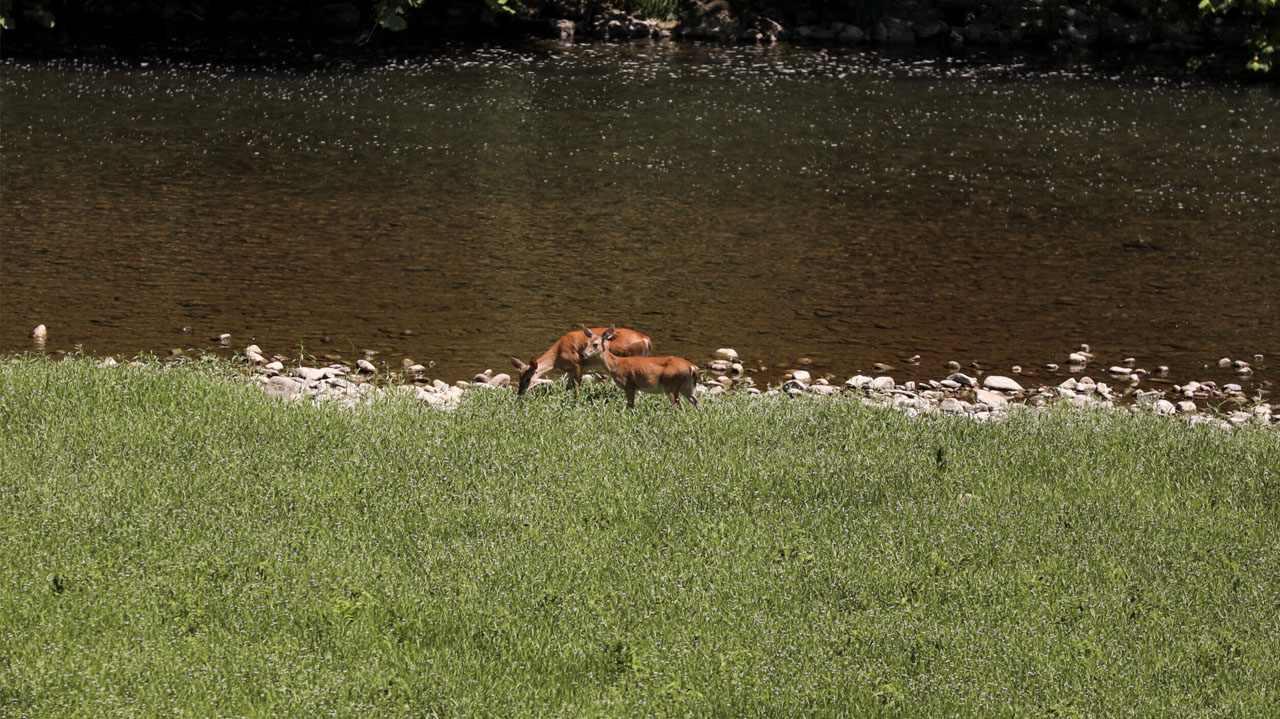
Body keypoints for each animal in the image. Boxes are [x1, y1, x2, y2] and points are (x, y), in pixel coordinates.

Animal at [506, 323, 650, 394]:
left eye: (528, 379)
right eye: (518, 378)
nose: (520, 394)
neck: (557, 356)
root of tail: (646, 340)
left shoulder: (578, 364)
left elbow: (577, 386)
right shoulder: (569, 369)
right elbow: (568, 388)